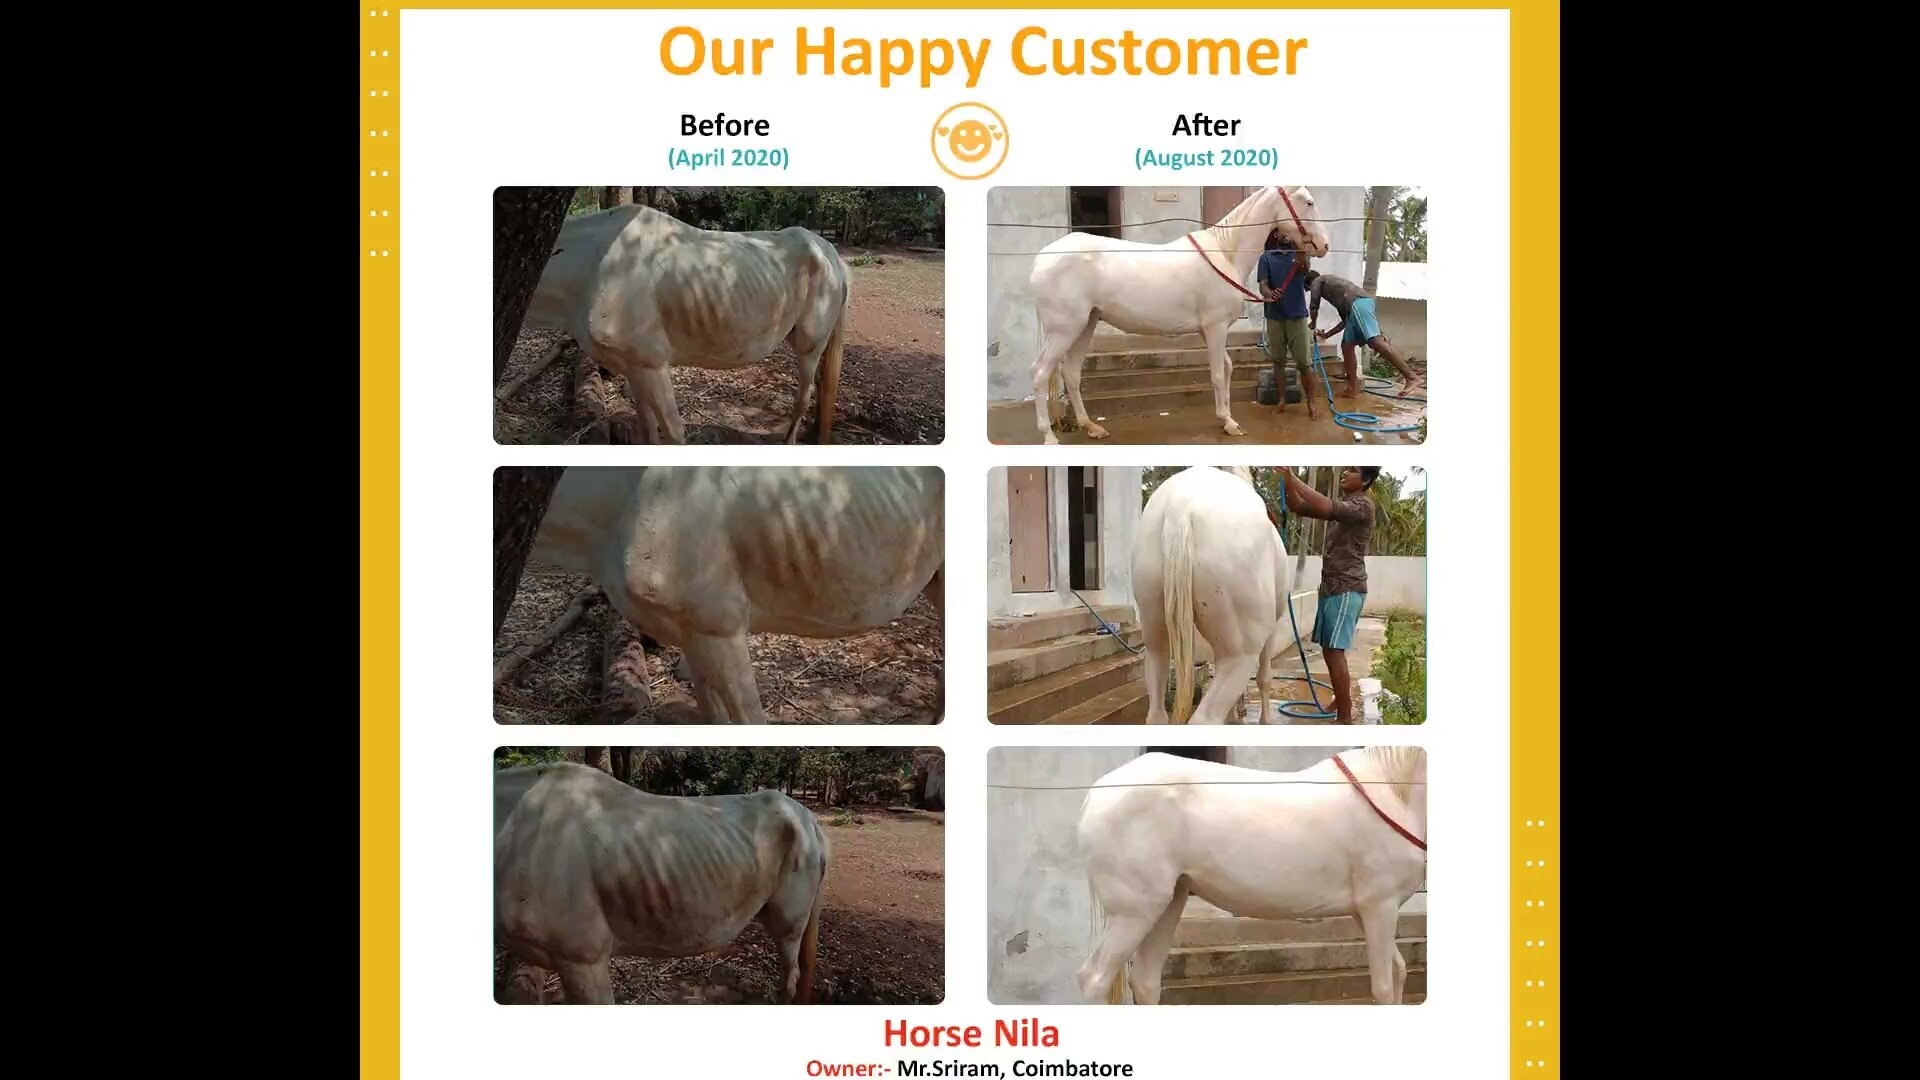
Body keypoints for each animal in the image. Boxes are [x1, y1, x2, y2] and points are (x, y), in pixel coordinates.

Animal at [522, 203, 851, 445]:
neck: (591, 266)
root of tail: (831, 253)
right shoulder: (633, 368)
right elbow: (647, 430)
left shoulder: (652, 365)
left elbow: (673, 435)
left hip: (809, 344)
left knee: (804, 395)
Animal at [1026, 186, 1330, 444]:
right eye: (1308, 202)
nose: (1323, 245)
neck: (1225, 253)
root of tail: (1042, 258)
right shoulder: (1216, 328)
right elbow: (1218, 374)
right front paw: (1230, 423)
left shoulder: (1210, 331)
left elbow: (1227, 368)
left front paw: (1225, 417)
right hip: (1065, 330)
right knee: (1040, 372)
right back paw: (1048, 436)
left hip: (1085, 325)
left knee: (1071, 372)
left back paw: (1091, 427)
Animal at [1074, 747, 1427, 1005]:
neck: (1392, 792)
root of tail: (1096, 793)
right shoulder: (1379, 906)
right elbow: (1383, 986)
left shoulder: (1367, 912)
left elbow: (1398, 973)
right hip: (1134, 913)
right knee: (1094, 979)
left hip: (1166, 905)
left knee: (1146, 982)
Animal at [1132, 465, 1290, 725]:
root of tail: (1179, 508)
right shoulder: (1272, 629)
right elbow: (1265, 677)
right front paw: (1263, 720)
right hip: (1241, 651)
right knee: (1205, 718)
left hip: (1154, 631)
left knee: (1156, 713)